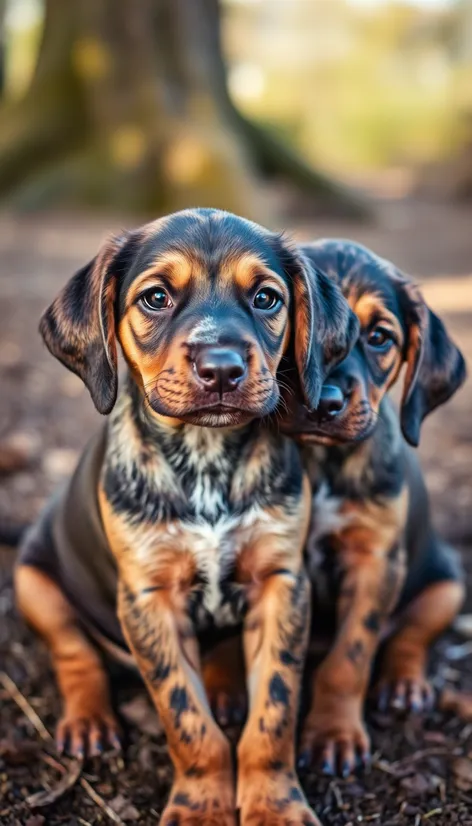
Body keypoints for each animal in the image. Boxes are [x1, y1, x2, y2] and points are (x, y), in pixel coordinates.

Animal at [13, 211, 358, 824]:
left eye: (267, 298)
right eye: (156, 297)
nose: (221, 368)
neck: (205, 458)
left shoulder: (281, 583)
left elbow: (273, 713)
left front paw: (275, 803)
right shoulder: (149, 599)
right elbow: (186, 718)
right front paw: (201, 805)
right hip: (33, 579)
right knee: (73, 651)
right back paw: (89, 721)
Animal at [280, 240, 464, 780]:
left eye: (379, 337)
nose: (324, 401)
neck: (322, 464)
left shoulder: (375, 562)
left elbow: (350, 658)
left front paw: (333, 736)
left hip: (446, 584)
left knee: (409, 636)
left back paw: (403, 685)